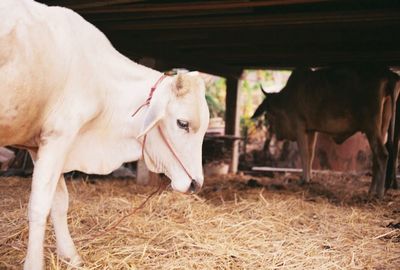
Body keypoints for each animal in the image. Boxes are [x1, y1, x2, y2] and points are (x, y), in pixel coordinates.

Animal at [0, 1, 211, 268]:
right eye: (182, 123)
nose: (196, 184)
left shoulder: (41, 146)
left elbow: (59, 202)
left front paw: (71, 256)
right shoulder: (58, 137)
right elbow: (39, 206)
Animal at [255, 67, 398, 198]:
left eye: (267, 116)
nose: (277, 134)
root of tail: (388, 74)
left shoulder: (299, 126)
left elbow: (304, 153)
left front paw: (303, 180)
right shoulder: (311, 130)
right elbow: (311, 154)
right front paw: (309, 179)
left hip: (371, 127)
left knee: (382, 154)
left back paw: (379, 193)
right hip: (382, 126)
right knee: (376, 157)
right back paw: (371, 191)